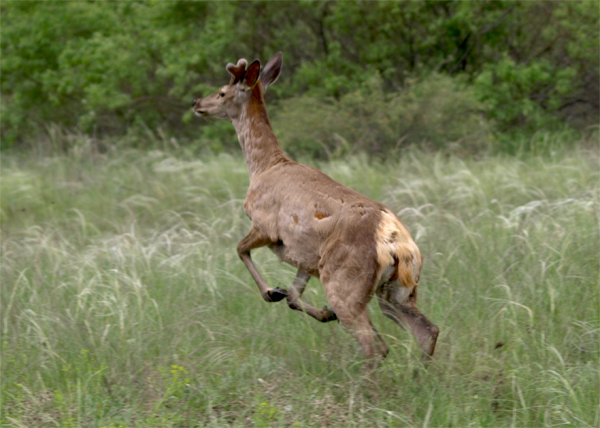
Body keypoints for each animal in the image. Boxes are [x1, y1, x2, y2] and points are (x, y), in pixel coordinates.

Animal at [195, 52, 438, 368]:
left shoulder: (265, 225)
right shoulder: (305, 257)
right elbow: (293, 297)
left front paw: (271, 292)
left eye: (222, 92)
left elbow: (240, 249)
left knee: (376, 346)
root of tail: (397, 243)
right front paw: (318, 311)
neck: (263, 167)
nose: (197, 103)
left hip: (344, 283)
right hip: (397, 291)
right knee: (426, 331)